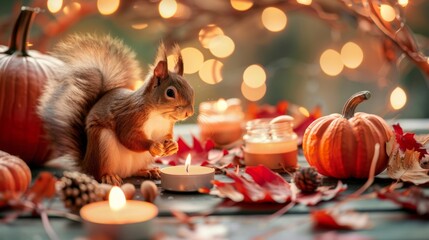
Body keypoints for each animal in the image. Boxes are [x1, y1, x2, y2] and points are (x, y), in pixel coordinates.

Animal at [37, 33, 195, 185]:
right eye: (170, 93)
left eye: (190, 88)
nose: (189, 112)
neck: (159, 115)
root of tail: (87, 164)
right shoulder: (130, 117)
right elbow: (128, 137)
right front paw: (153, 145)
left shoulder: (165, 127)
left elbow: (166, 136)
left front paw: (173, 146)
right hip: (102, 144)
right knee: (100, 172)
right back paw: (109, 176)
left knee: (133, 171)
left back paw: (147, 171)